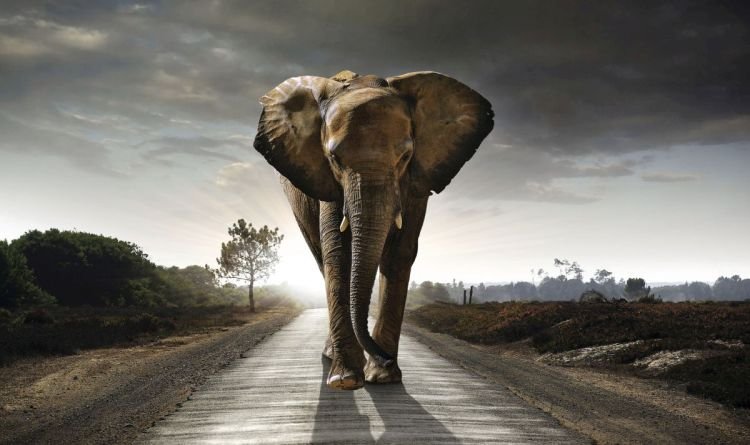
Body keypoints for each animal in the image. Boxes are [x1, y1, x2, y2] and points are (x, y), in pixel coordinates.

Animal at [253, 70, 493, 390]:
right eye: (334, 159)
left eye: (405, 157)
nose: (386, 358)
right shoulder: (327, 182)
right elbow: (339, 254)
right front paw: (345, 380)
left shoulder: (416, 182)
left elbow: (399, 254)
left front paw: (383, 377)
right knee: (321, 259)